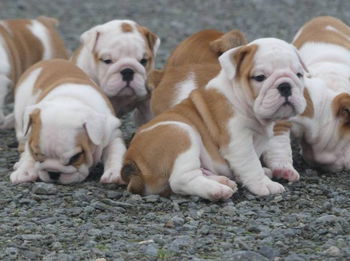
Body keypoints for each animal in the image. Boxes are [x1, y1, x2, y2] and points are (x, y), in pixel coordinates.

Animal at [121, 37, 308, 199]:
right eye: (260, 77)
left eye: (299, 74)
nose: (285, 86)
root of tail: (131, 160)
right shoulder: (238, 142)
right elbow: (251, 164)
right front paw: (264, 184)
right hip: (180, 132)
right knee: (181, 180)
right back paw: (216, 190)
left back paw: (221, 179)